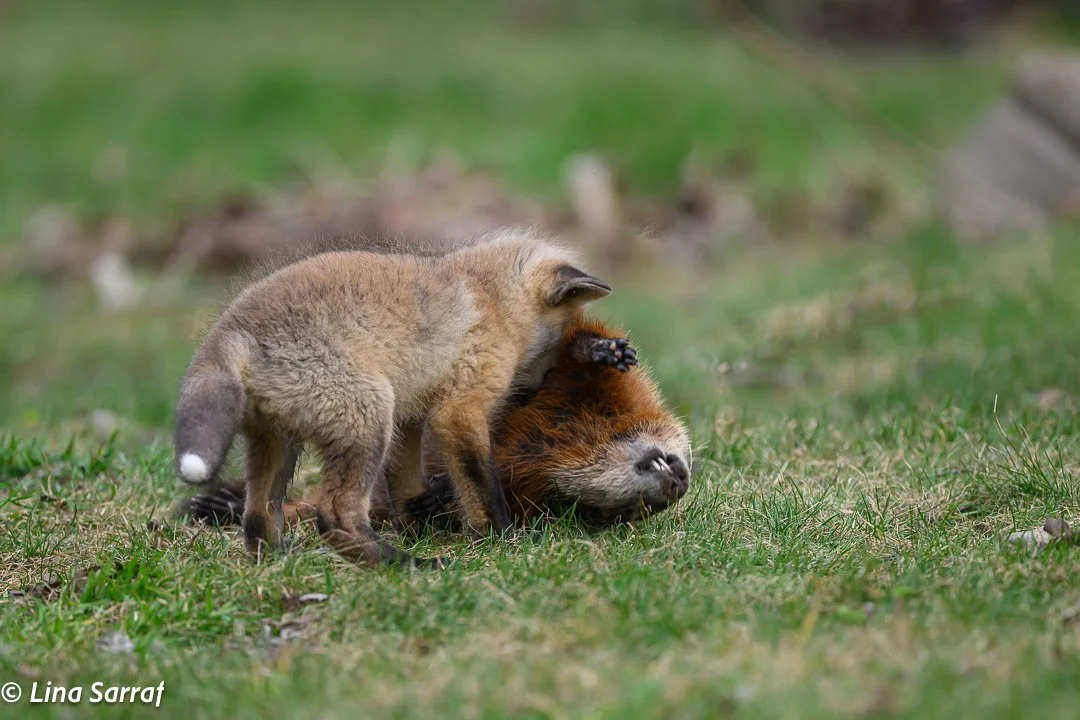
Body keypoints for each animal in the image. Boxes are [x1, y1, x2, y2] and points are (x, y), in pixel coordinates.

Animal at [173, 228, 625, 568]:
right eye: (556, 342)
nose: (528, 394)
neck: (490, 297)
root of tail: (230, 331)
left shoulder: (409, 422)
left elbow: (405, 488)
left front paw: (420, 529)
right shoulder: (458, 411)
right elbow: (482, 486)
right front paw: (503, 539)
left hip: (279, 443)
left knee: (256, 518)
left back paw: (283, 562)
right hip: (368, 417)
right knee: (334, 517)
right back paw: (407, 565)